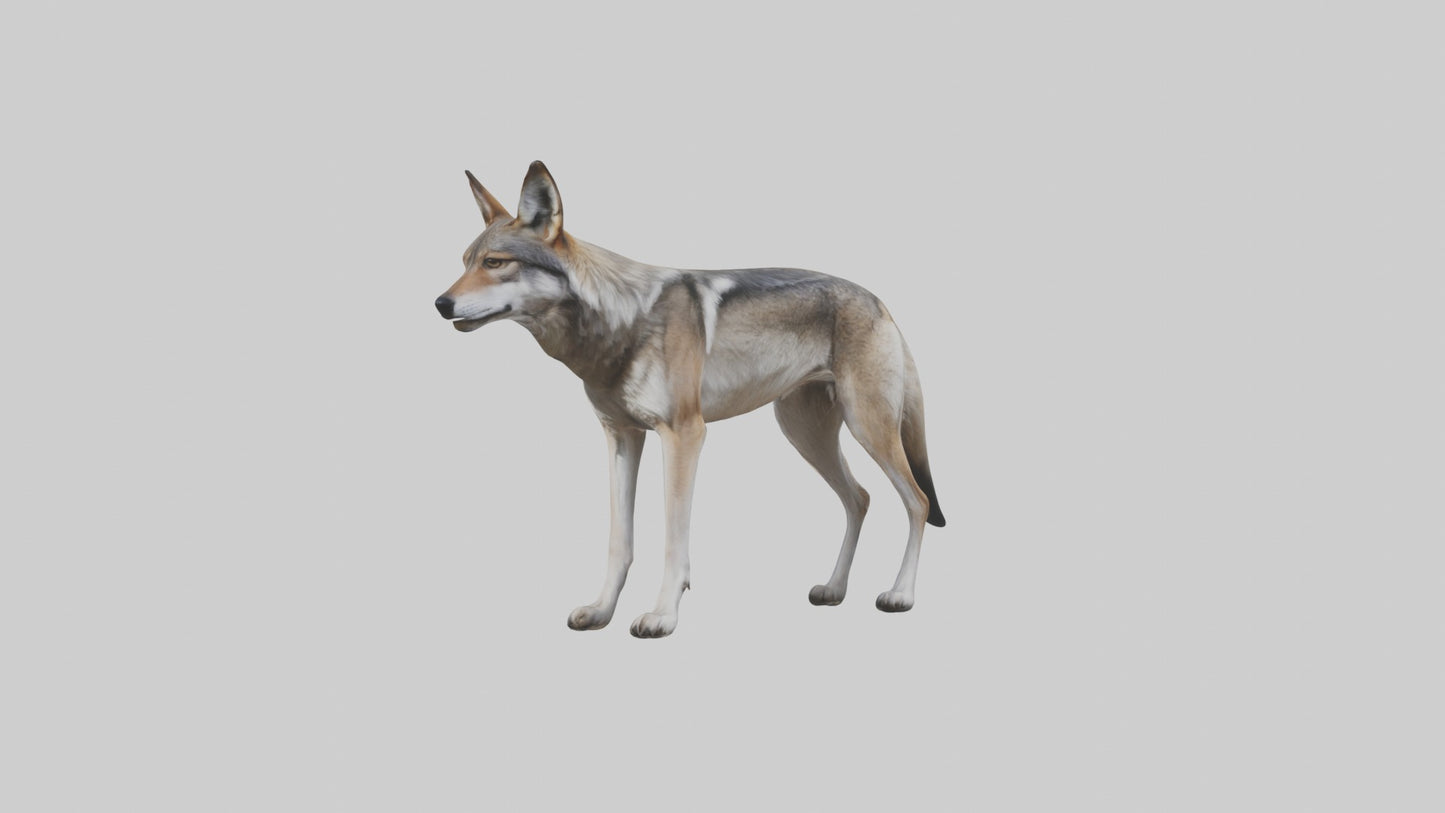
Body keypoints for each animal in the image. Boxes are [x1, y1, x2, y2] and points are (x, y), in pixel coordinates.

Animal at [435, 161, 945, 638]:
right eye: (465, 261)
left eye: (495, 263)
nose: (440, 303)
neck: (622, 323)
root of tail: (879, 301)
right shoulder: (621, 437)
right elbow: (619, 541)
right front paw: (601, 611)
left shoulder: (684, 435)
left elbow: (672, 540)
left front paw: (662, 615)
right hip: (806, 437)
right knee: (859, 499)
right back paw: (834, 589)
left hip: (867, 430)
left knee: (917, 502)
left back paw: (900, 594)